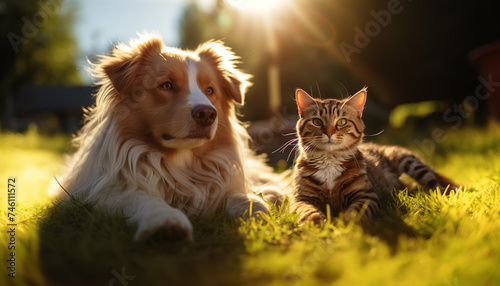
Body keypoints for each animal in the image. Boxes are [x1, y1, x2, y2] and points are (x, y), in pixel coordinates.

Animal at [54, 33, 286, 241]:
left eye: (210, 90)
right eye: (167, 85)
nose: (207, 114)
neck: (178, 163)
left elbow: (232, 192)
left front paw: (252, 204)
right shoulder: (102, 194)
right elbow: (141, 197)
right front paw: (165, 221)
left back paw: (272, 193)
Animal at [290, 86, 458, 225]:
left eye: (342, 122)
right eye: (317, 121)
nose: (329, 133)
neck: (329, 162)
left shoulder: (365, 194)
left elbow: (357, 211)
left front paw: (347, 223)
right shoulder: (300, 198)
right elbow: (306, 210)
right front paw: (316, 221)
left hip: (409, 162)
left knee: (438, 186)